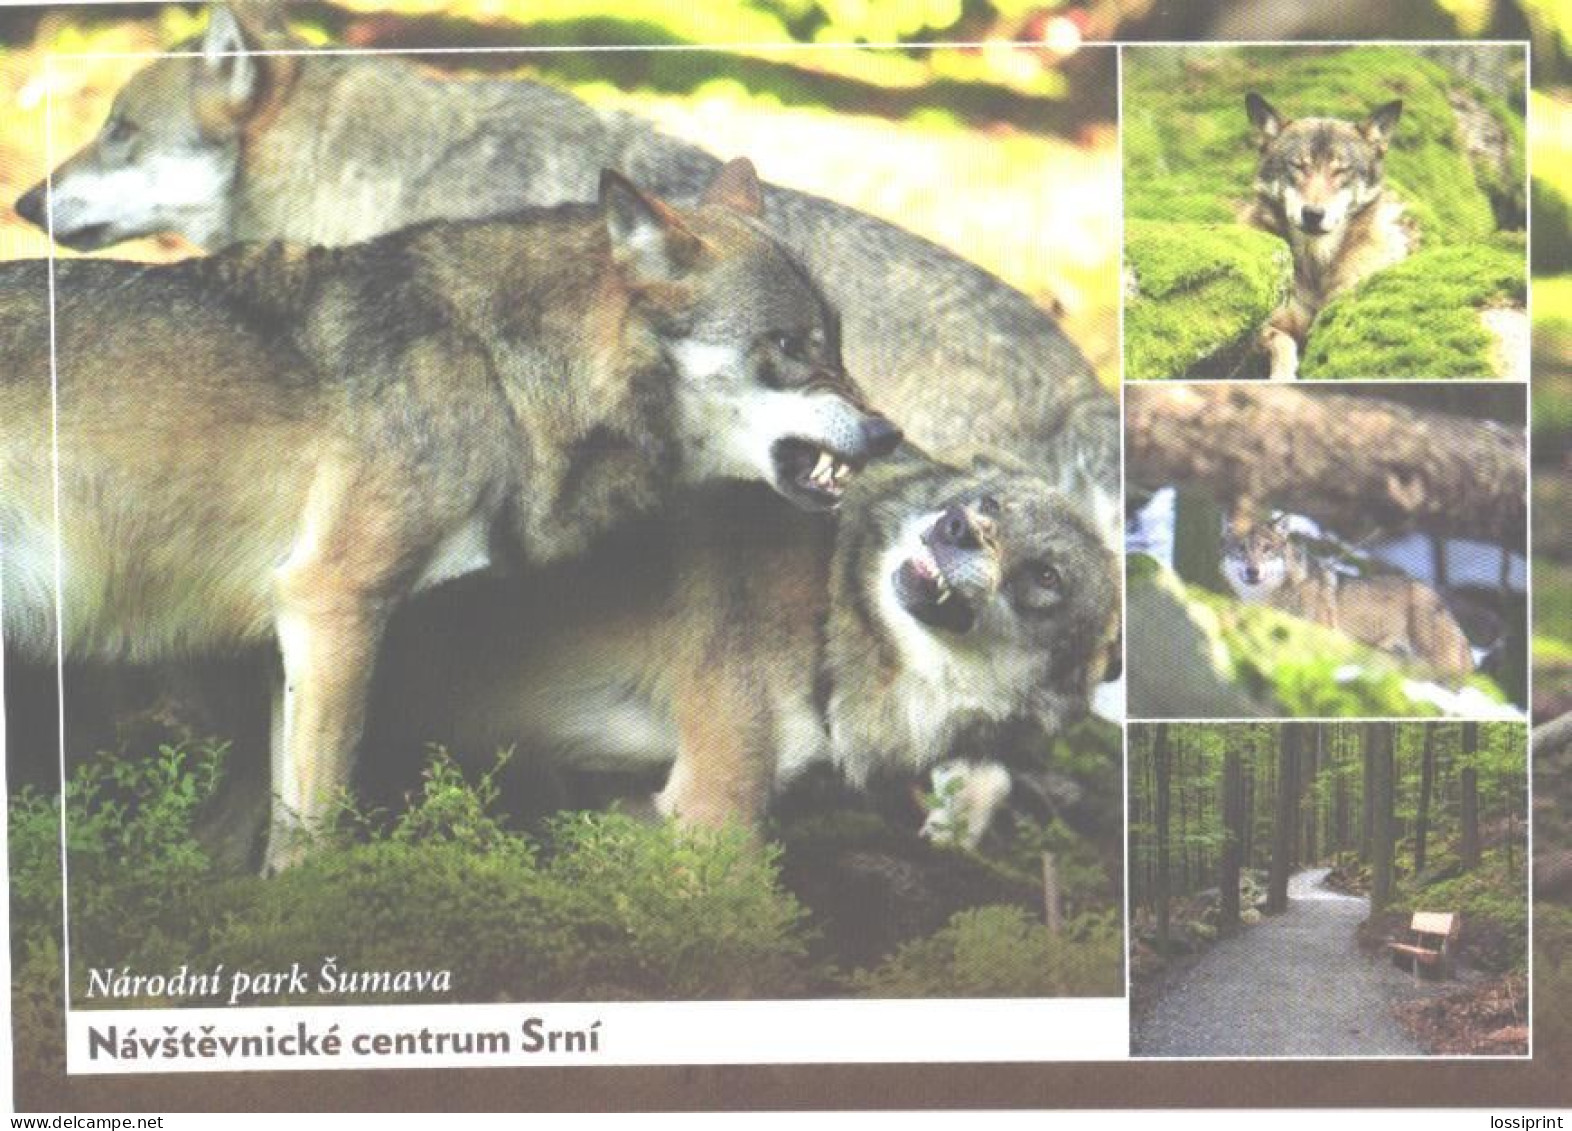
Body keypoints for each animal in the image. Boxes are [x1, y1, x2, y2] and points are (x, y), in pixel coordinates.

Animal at [0, 158, 899, 874]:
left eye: (838, 341)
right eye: (788, 345)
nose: (888, 433)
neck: (493, 363)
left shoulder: (296, 638)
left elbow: (277, 825)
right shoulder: (332, 606)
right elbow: (315, 829)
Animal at [1245, 92, 1421, 380]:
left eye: (1340, 170)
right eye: (1298, 166)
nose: (1313, 214)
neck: (1316, 265)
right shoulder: (1266, 327)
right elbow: (1281, 341)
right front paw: (1282, 374)